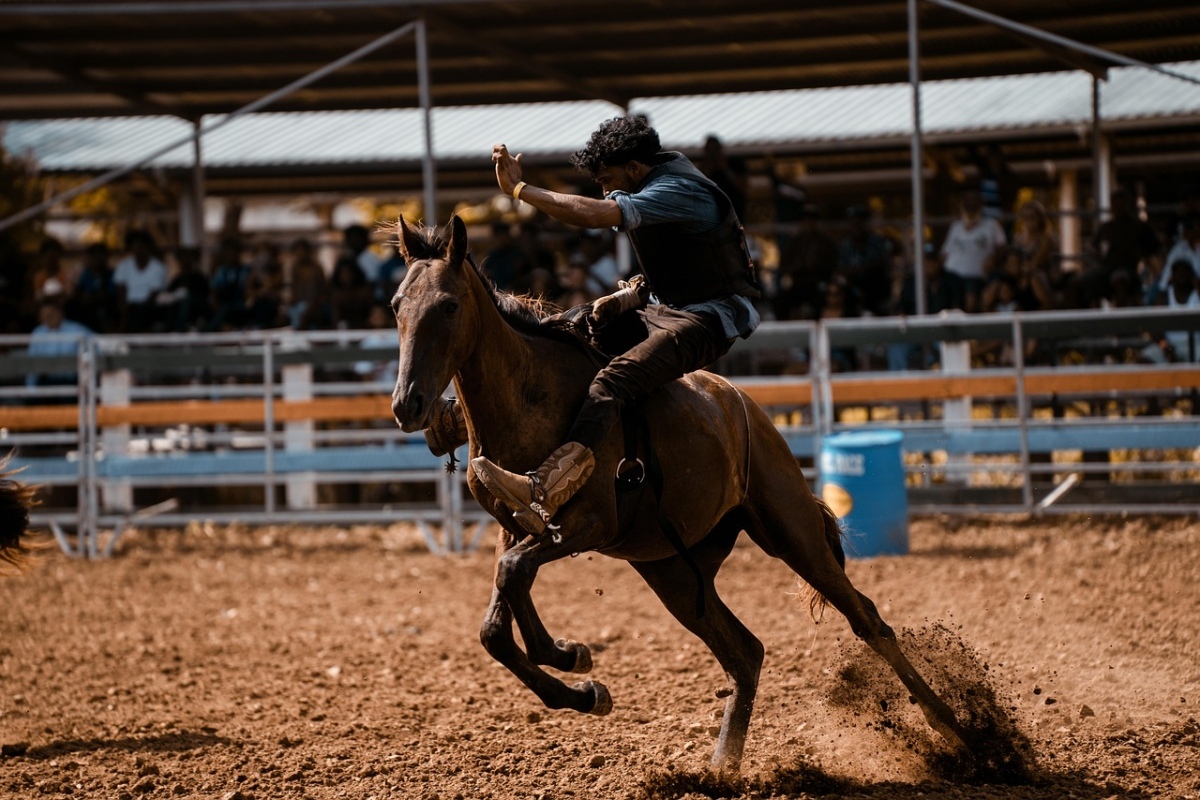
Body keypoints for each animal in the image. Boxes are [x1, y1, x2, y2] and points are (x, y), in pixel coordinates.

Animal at [389, 215, 972, 772]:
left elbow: (513, 578)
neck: (531, 396)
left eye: (448, 305)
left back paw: (959, 733)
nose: (407, 404)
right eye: (397, 306)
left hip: (793, 533)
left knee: (867, 620)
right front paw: (583, 684)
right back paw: (722, 767)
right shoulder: (516, 529)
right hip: (673, 571)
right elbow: (497, 617)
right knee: (745, 652)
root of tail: (748, 412)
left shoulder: (588, 524)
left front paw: (569, 654)